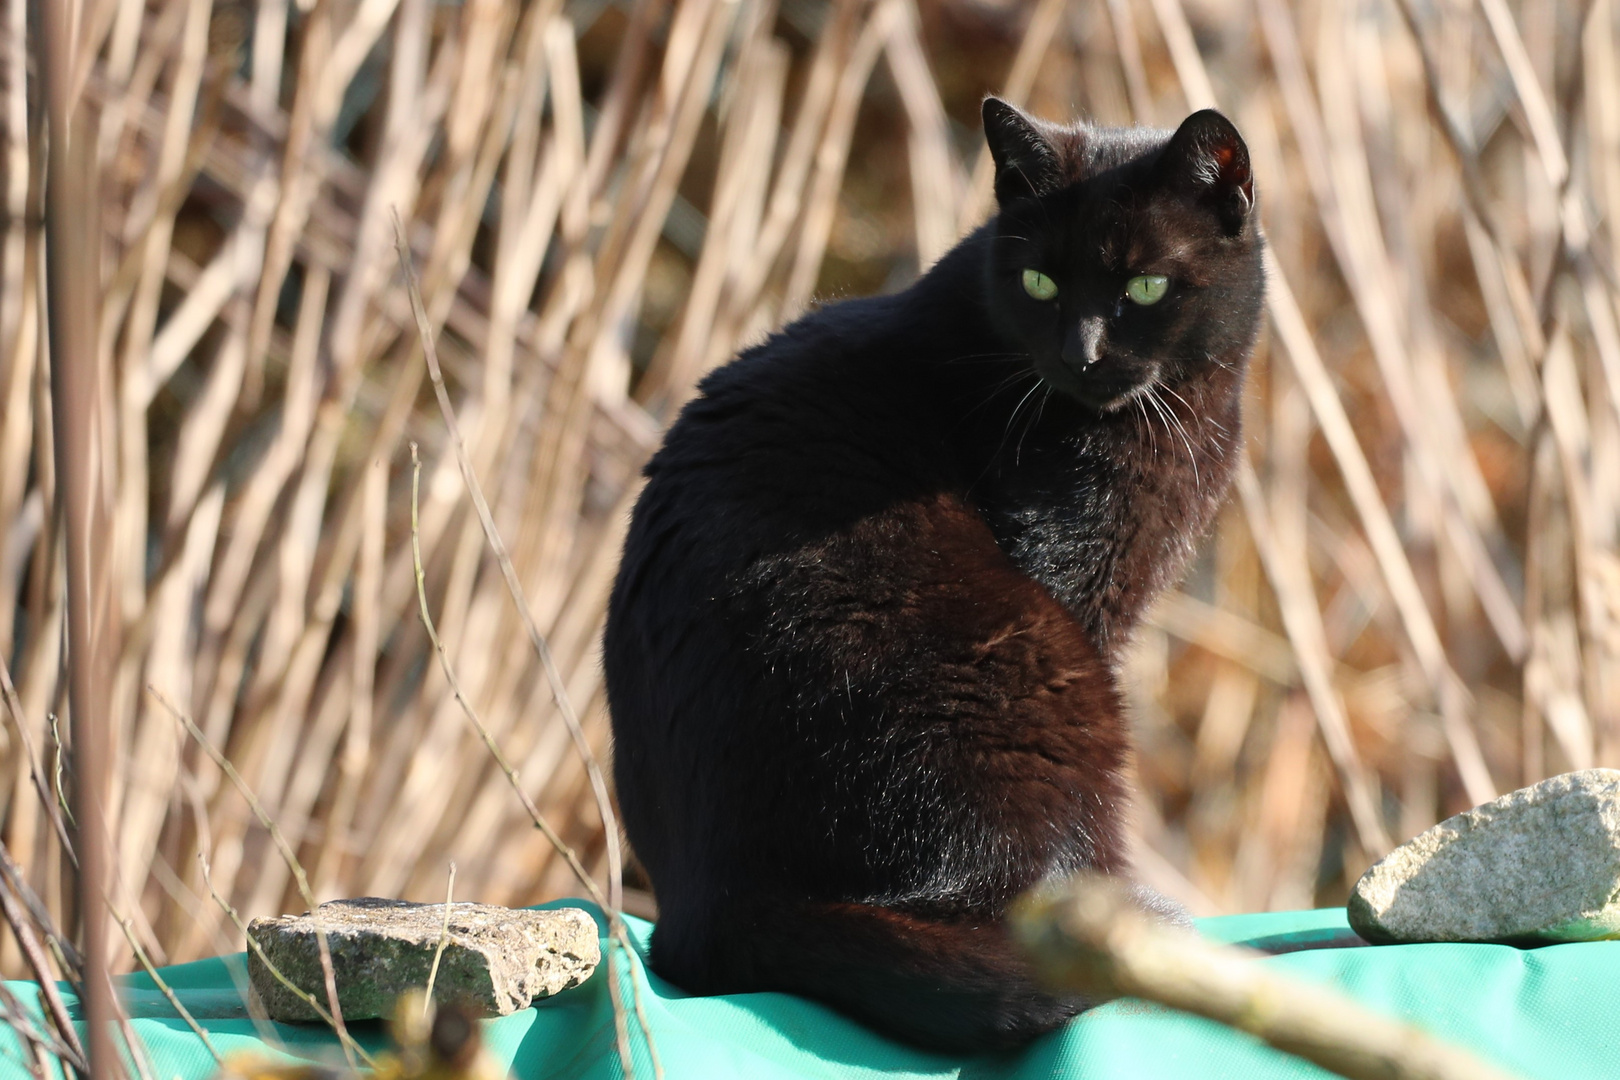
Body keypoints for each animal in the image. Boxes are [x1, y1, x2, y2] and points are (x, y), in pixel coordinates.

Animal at [605, 99, 1263, 1049]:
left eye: (1144, 288)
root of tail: (711, 906)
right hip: (1042, 673)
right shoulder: (1072, 575)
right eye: (1038, 283)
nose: (1081, 353)